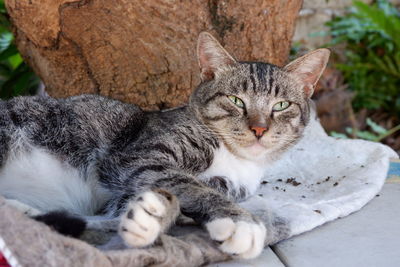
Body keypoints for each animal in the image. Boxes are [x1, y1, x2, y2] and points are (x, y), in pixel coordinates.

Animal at [0, 31, 330, 260]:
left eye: (281, 105)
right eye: (236, 100)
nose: (259, 129)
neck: (237, 160)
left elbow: (167, 196)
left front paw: (147, 218)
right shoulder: (137, 157)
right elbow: (186, 183)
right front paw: (242, 222)